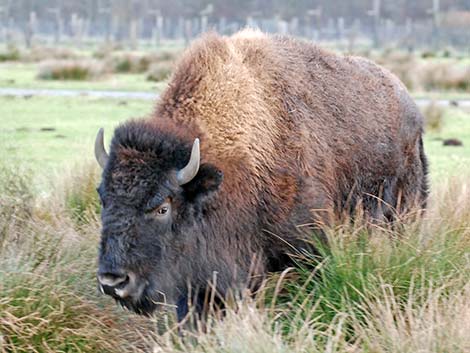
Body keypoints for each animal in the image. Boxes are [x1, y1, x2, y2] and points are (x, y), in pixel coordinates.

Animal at [93, 30, 428, 320]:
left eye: (163, 207)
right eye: (103, 199)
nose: (113, 281)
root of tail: (411, 106)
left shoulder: (305, 251)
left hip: (402, 213)